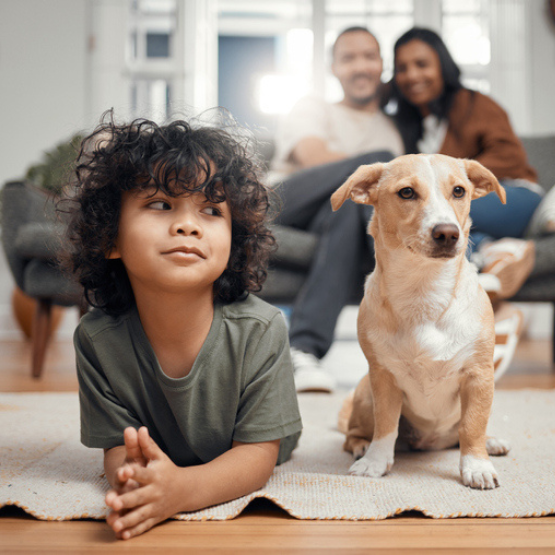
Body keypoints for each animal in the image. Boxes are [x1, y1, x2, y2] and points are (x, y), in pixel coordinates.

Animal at [332, 153, 510, 490]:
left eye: (459, 191)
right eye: (406, 193)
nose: (447, 233)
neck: (424, 292)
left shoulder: (479, 376)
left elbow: (472, 425)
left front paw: (476, 465)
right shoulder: (383, 378)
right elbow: (386, 425)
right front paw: (375, 462)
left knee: (464, 432)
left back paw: (491, 442)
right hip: (364, 394)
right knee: (352, 434)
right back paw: (362, 446)